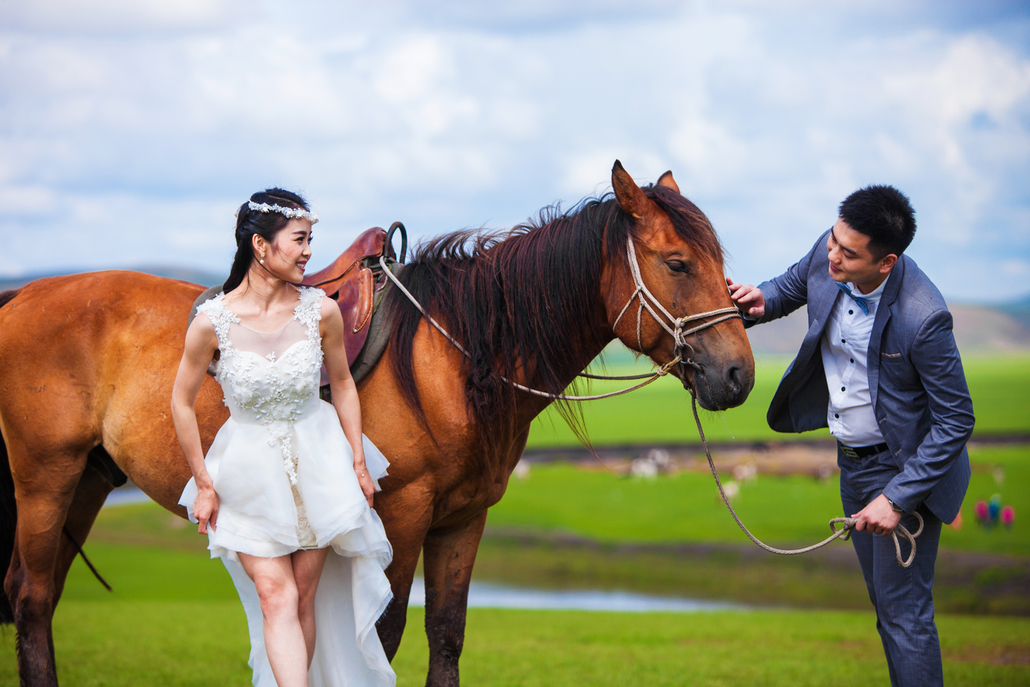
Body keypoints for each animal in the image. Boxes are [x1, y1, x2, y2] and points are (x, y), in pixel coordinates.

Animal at [0, 162, 758, 687]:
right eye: (677, 262)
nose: (738, 376)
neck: (454, 357)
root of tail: (22, 296)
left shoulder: (462, 519)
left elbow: (445, 636)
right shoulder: (400, 513)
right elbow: (383, 637)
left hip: (89, 481)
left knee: (38, 595)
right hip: (45, 480)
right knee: (32, 600)